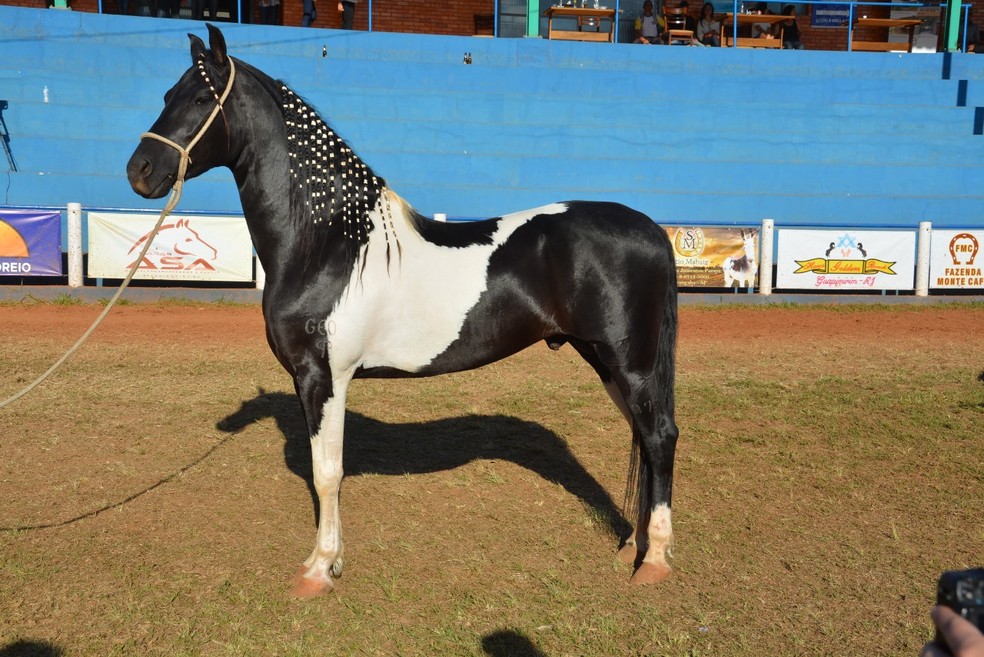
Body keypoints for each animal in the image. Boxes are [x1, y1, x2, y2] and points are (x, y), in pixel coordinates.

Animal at [123, 25, 680, 596]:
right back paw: (632, 548)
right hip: (607, 362)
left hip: (628, 364)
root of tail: (652, 229)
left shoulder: (322, 377)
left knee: (659, 438)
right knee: (645, 437)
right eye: (167, 95)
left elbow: (327, 473)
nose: (139, 171)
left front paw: (320, 568)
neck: (328, 243)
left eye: (200, 98)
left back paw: (654, 561)